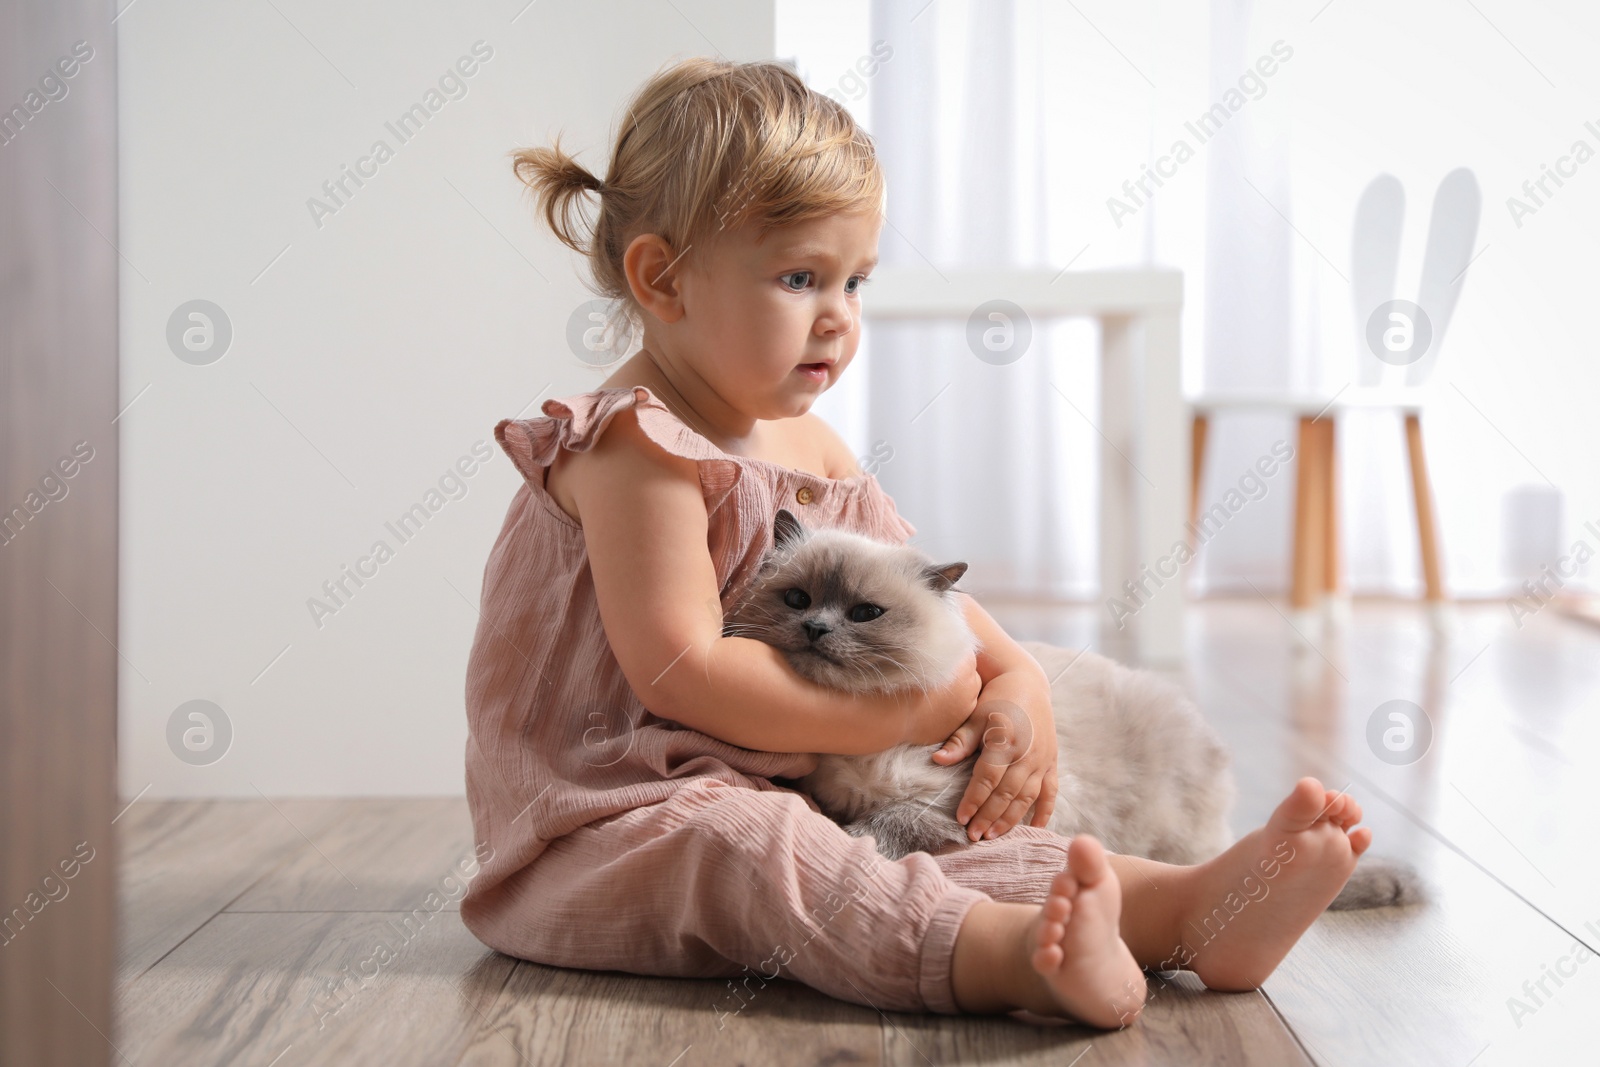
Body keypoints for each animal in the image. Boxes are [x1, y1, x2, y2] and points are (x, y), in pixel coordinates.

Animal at [723, 508, 1414, 908]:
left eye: (866, 613)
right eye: (797, 599)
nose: (815, 629)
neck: (867, 738)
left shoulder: (962, 810)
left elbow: (889, 821)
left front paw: (855, 838)